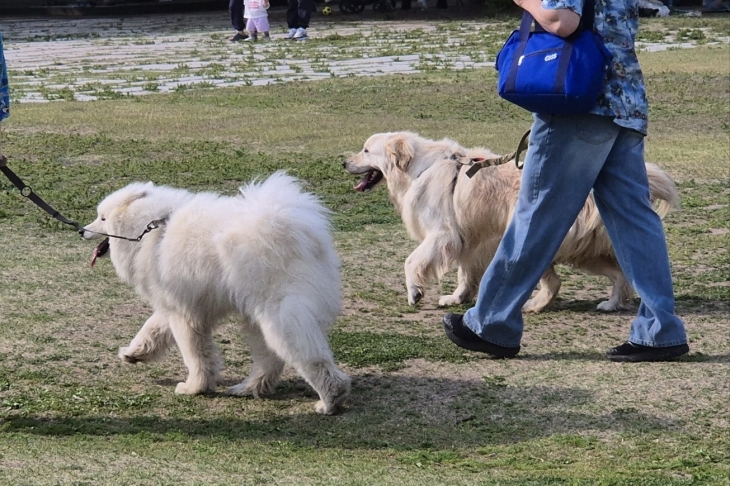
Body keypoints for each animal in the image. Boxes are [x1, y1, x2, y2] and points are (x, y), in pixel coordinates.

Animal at [82, 171, 350, 414]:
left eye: (102, 218)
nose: (81, 230)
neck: (151, 228)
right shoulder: (177, 304)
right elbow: (152, 329)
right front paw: (134, 353)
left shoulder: (184, 315)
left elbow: (195, 355)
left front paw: (194, 388)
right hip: (258, 320)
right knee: (269, 361)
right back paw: (248, 388)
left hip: (279, 315)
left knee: (310, 359)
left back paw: (330, 400)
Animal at [342, 132, 676, 312]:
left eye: (366, 150)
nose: (343, 161)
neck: (418, 167)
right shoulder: (469, 242)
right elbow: (465, 275)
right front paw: (457, 297)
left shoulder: (441, 235)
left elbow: (411, 261)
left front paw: (414, 292)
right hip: (580, 250)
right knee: (617, 273)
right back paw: (607, 303)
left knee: (556, 281)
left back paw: (534, 305)